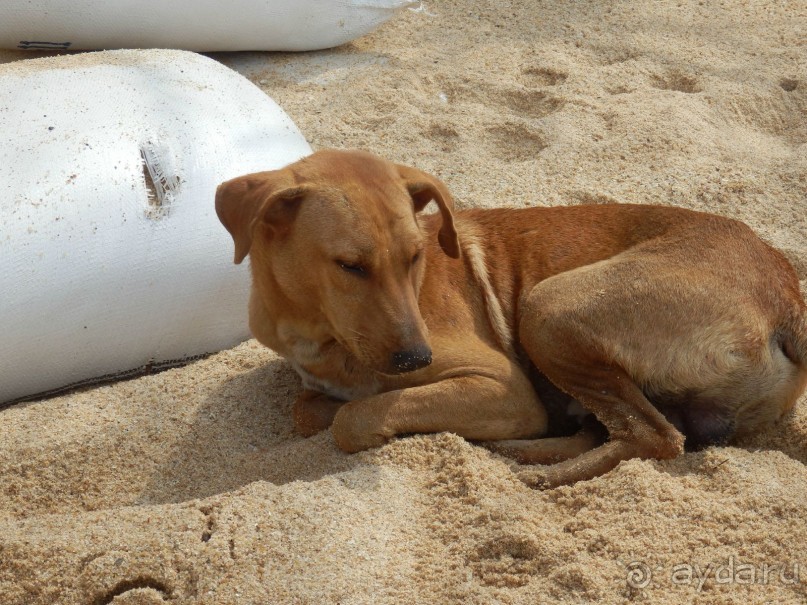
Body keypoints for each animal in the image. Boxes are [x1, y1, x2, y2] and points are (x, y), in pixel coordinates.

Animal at [216, 149, 807, 488]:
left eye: (414, 258)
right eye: (349, 266)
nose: (416, 358)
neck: (316, 333)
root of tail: (786, 290)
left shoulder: (502, 385)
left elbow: (355, 417)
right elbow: (309, 408)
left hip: (548, 308)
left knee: (653, 436)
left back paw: (531, 465)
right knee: (635, 428)